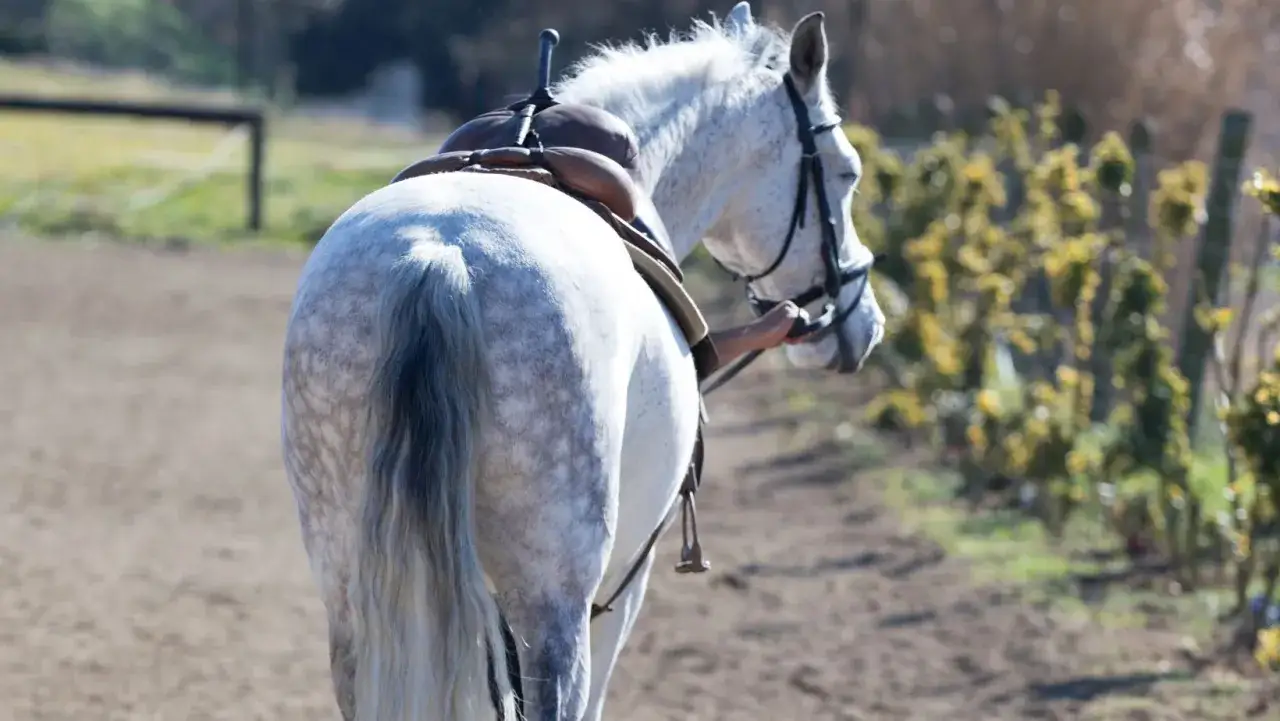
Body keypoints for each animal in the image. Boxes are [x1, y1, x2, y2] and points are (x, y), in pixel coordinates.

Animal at [279, 3, 885, 720]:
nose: (863, 322)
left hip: (354, 591)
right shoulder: (623, 585)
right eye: (847, 171)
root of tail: (439, 254)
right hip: (555, 603)